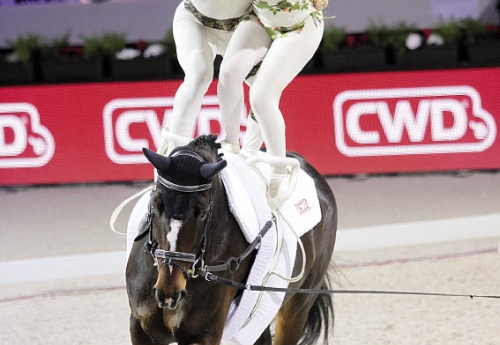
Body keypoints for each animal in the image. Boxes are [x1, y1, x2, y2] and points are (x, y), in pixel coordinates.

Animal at [125, 134, 338, 344]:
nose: (169, 291)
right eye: (156, 203)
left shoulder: (204, 335)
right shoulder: (140, 329)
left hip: (296, 308)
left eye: (202, 212)